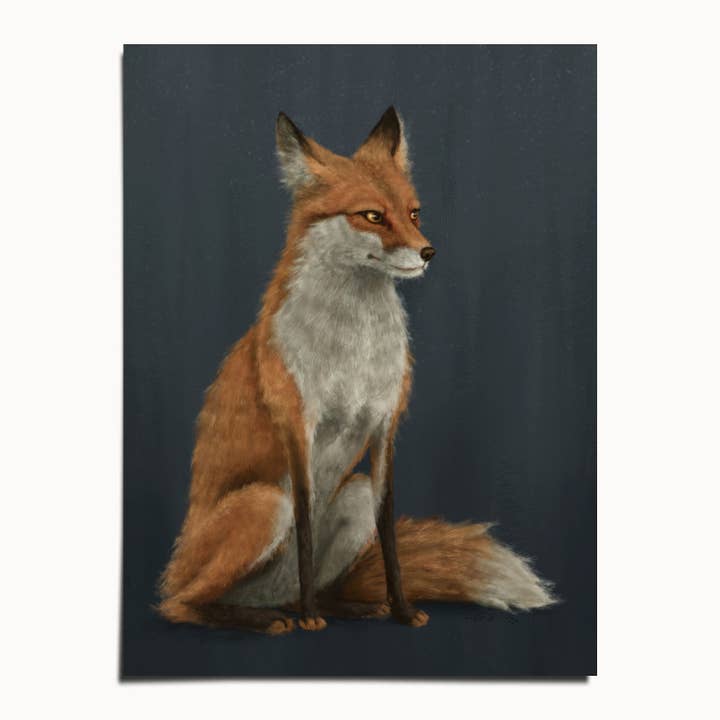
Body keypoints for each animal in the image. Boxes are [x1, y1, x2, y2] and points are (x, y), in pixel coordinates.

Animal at [157, 107, 556, 635]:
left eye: (414, 213)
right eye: (372, 216)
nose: (429, 252)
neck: (355, 349)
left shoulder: (385, 426)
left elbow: (389, 536)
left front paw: (401, 610)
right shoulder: (298, 427)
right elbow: (305, 529)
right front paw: (310, 619)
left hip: (354, 495)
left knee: (305, 584)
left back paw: (342, 606)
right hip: (265, 503)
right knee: (180, 604)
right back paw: (267, 617)